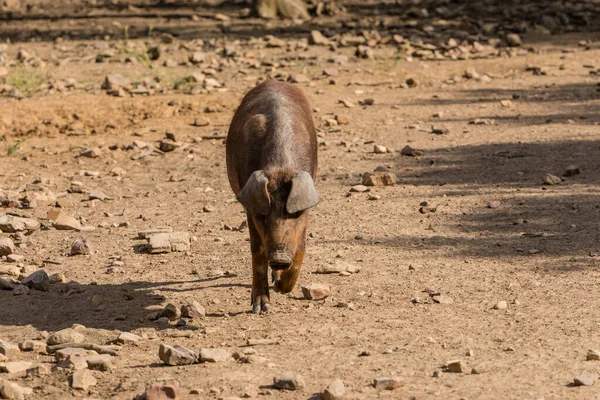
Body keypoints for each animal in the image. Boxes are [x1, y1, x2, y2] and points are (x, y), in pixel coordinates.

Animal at [225, 79, 318, 314]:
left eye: (296, 213)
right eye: (263, 215)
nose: (280, 258)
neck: (280, 167)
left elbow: (301, 245)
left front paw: (282, 287)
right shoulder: (250, 206)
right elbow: (257, 251)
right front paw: (261, 308)